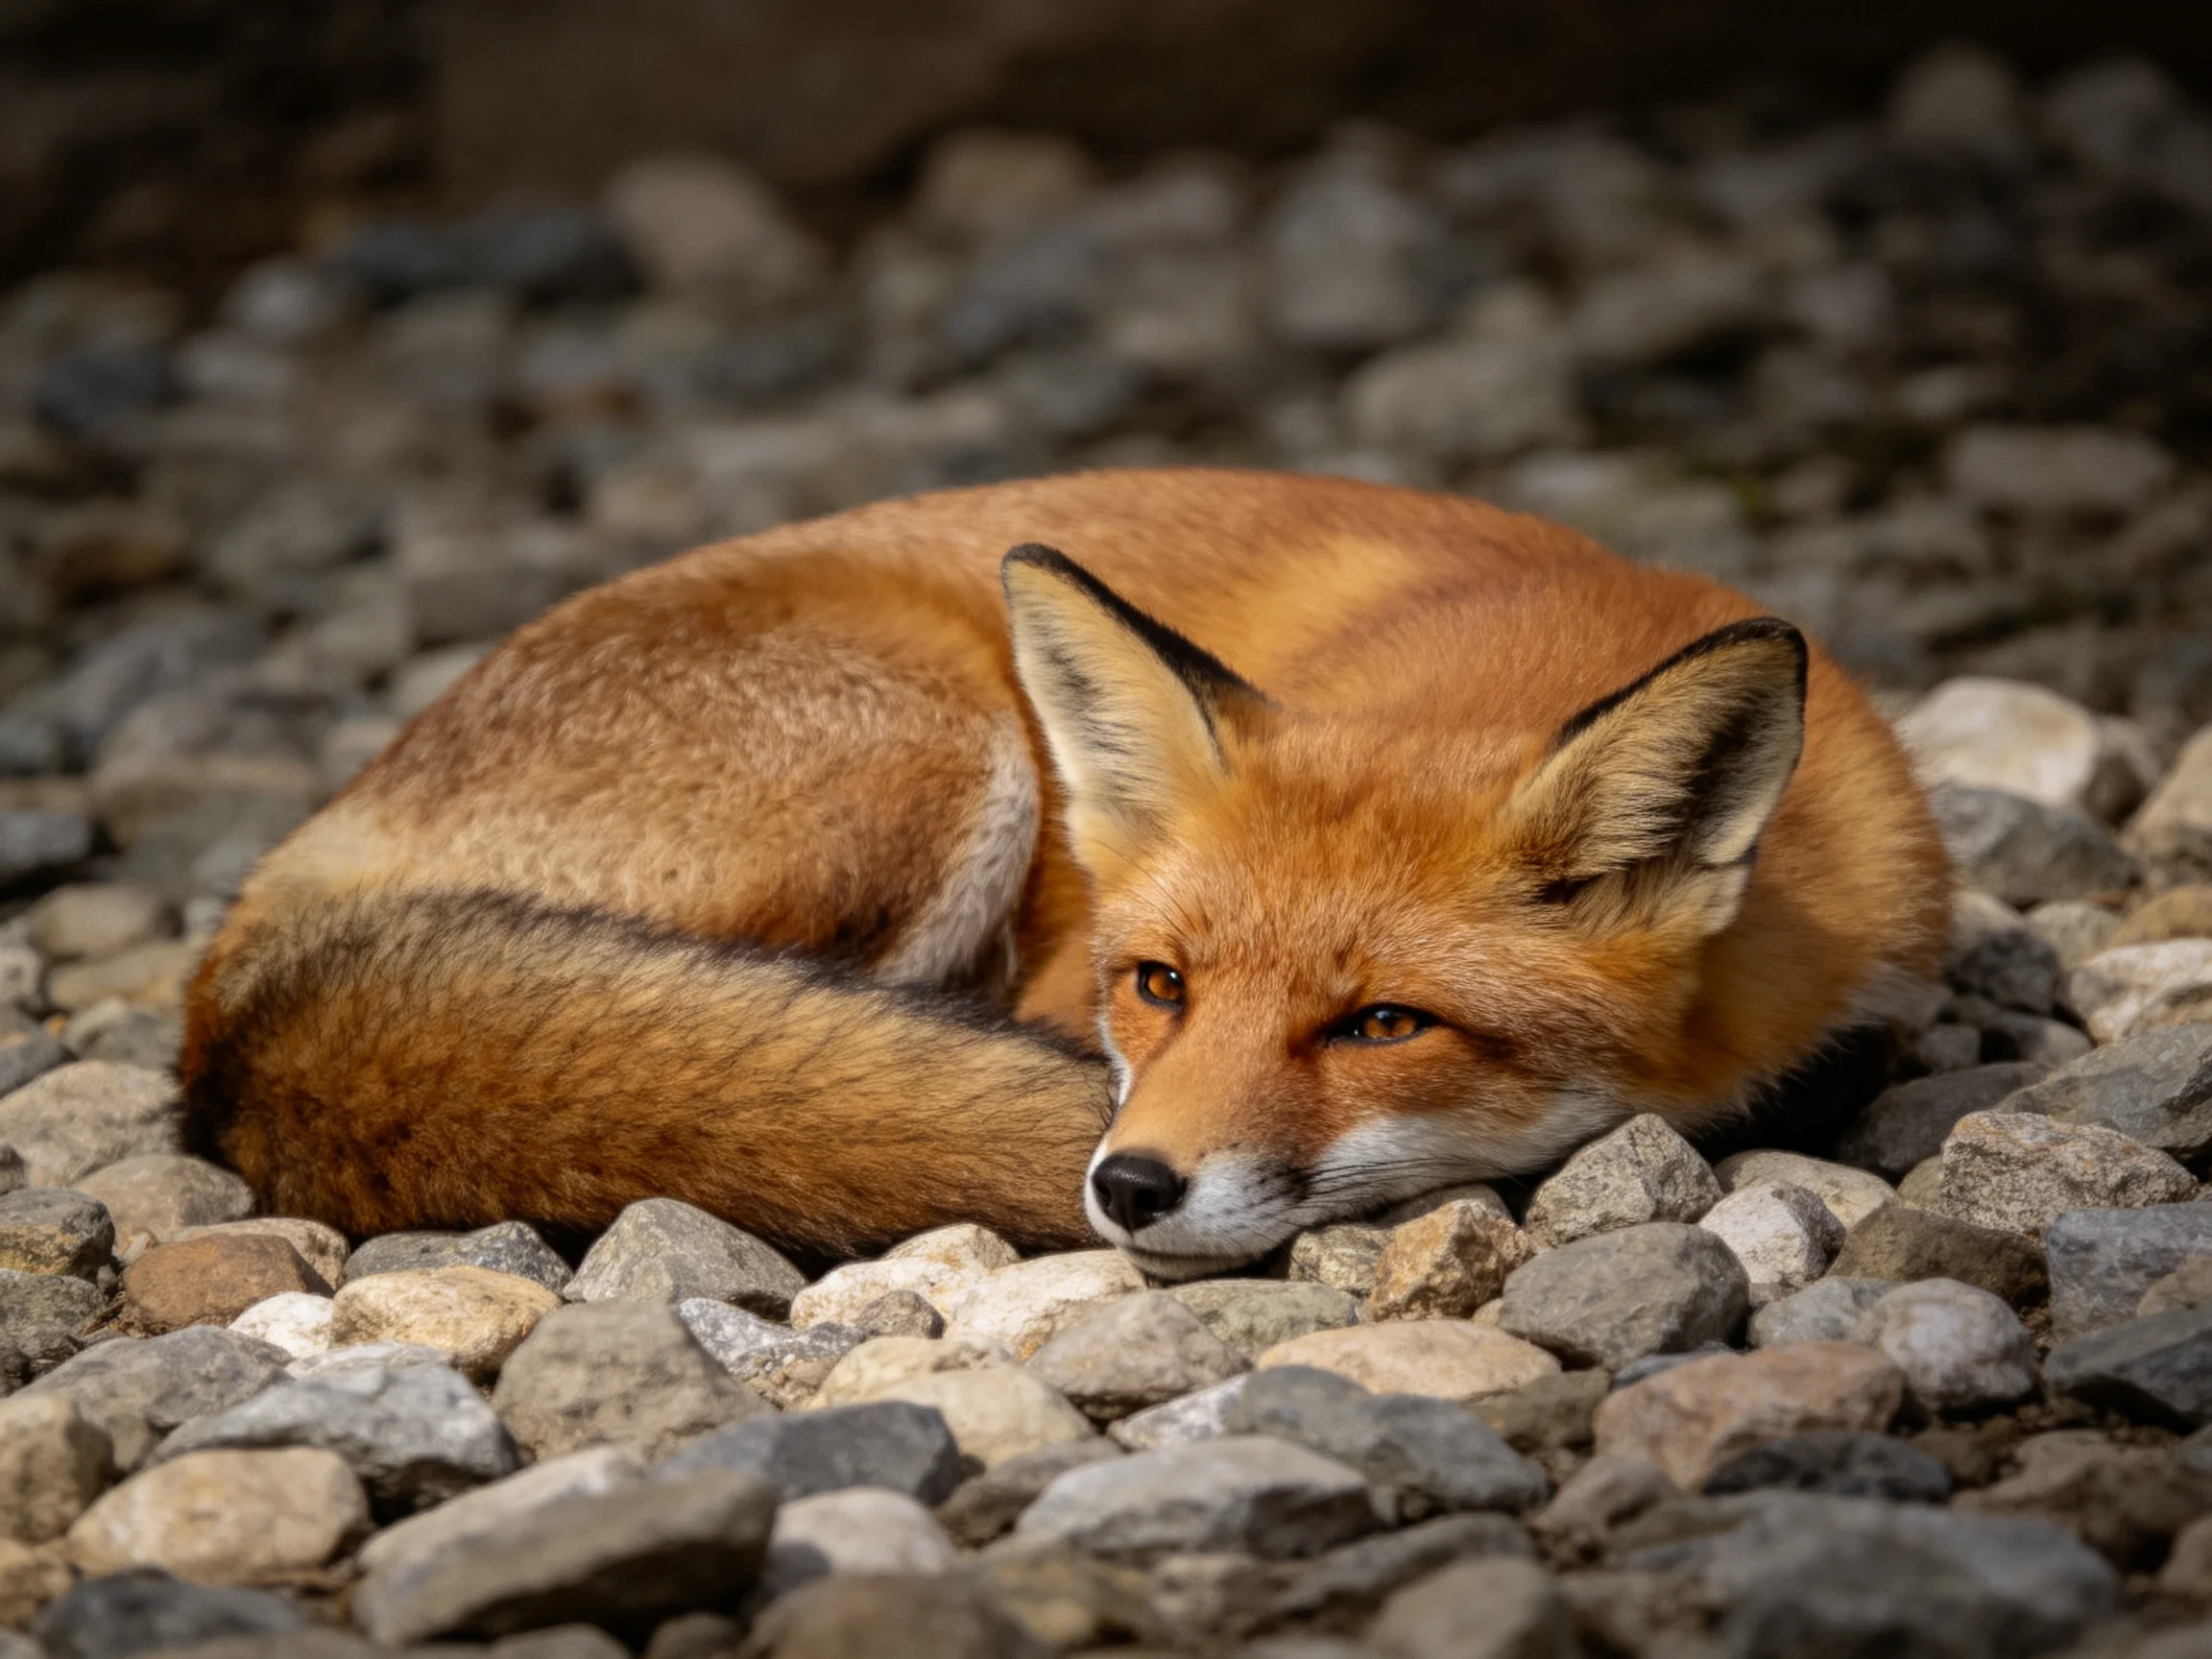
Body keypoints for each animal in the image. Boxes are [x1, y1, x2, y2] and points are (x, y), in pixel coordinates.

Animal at [181, 468, 1949, 1277]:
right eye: (1155, 985)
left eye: (1382, 1023)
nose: (1130, 1188)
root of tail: (247, 977)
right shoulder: (1047, 989)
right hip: (933, 764)